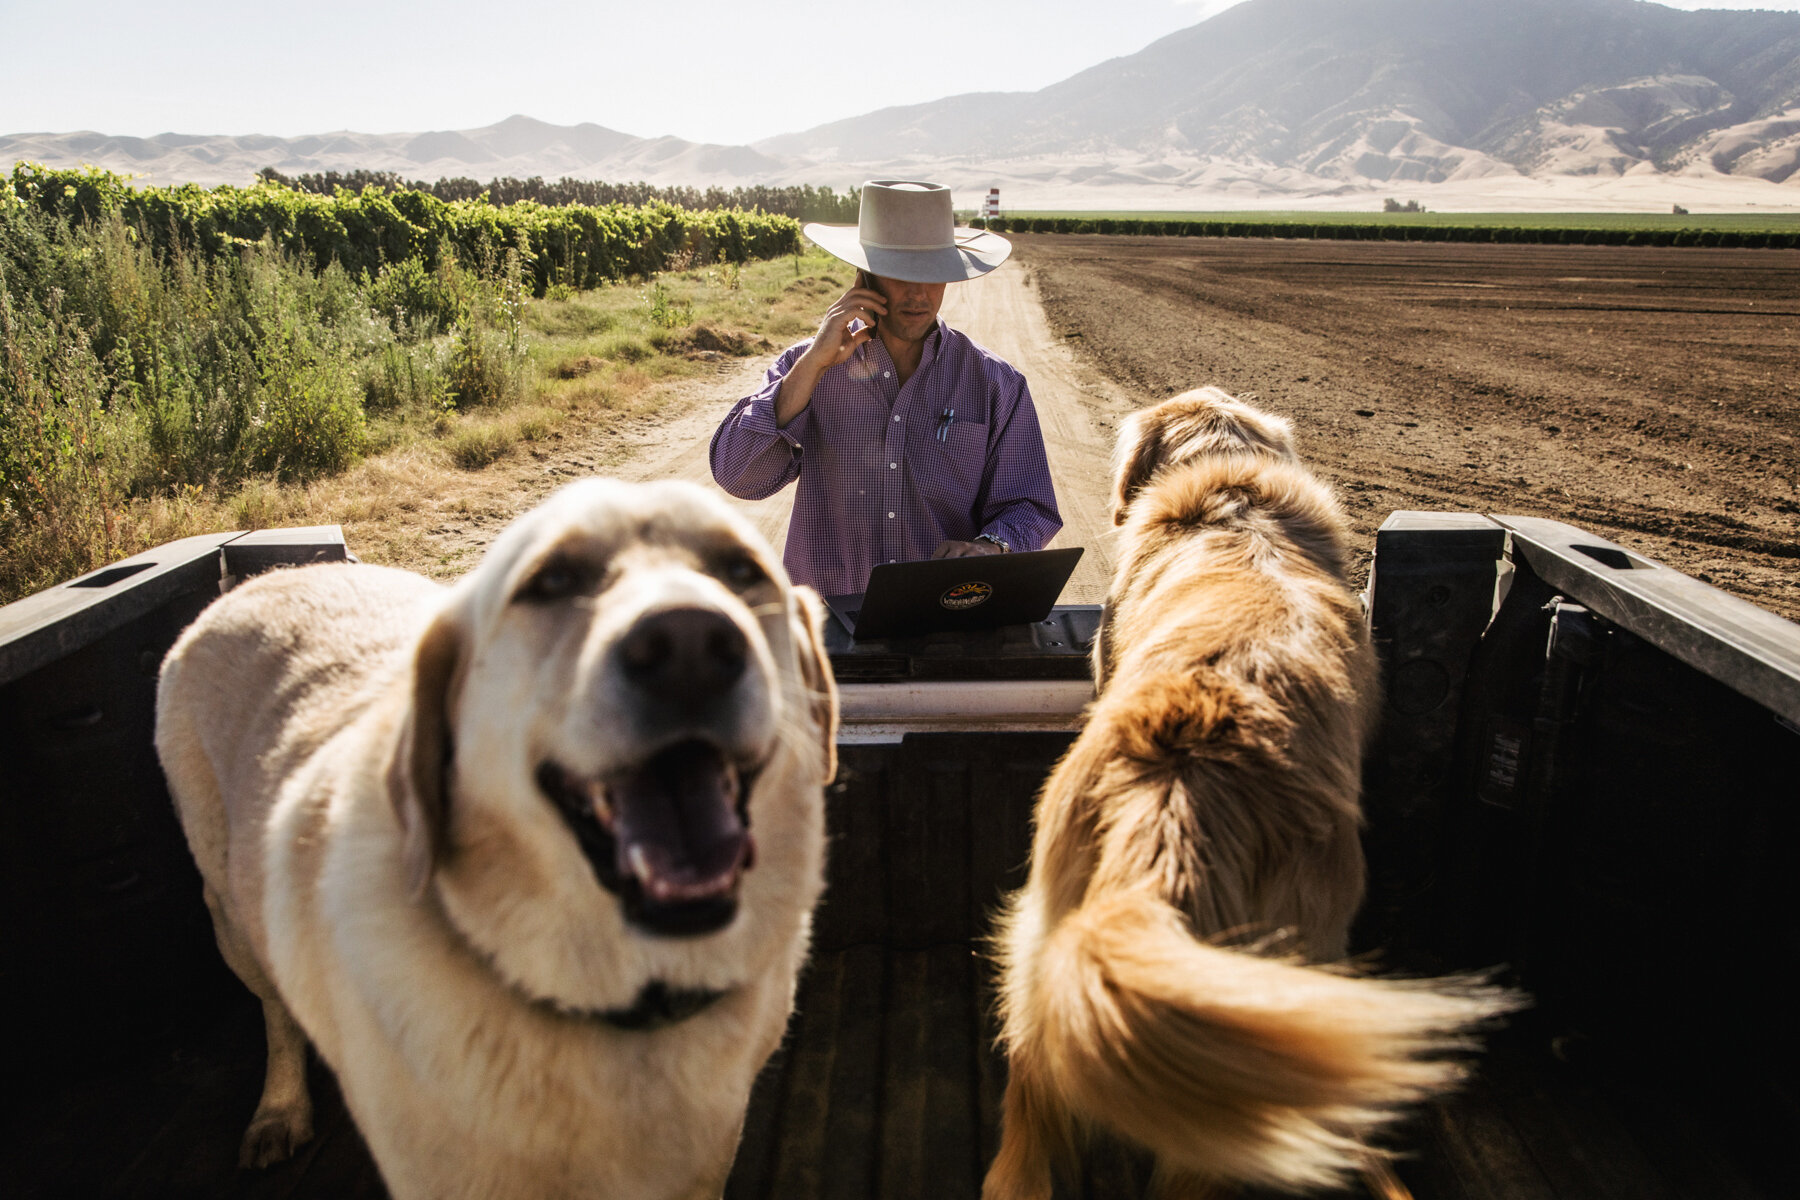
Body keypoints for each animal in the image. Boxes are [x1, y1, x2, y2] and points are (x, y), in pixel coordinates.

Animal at [153, 482, 835, 1200]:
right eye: (552, 580)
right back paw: (280, 1109)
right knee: (274, 1011)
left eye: (741, 571)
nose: (689, 646)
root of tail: (254, 580)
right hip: (229, 916)